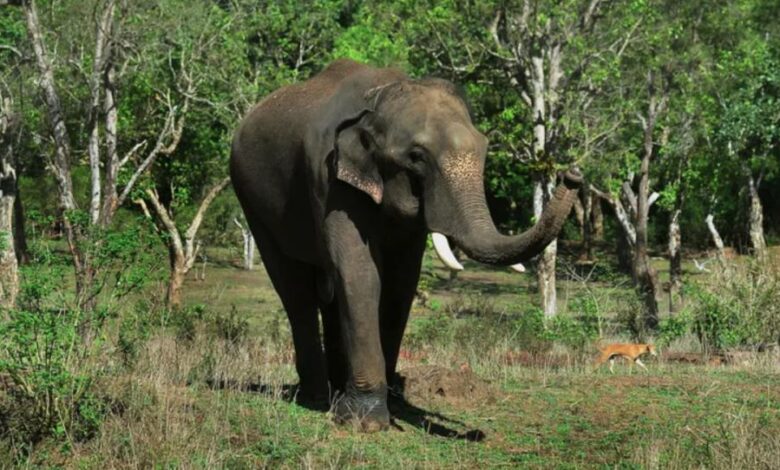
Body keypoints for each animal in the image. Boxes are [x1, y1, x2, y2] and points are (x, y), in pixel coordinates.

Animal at [230, 59, 581, 431]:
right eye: (416, 157)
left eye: (485, 149)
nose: (573, 175)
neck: (378, 100)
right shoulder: (329, 179)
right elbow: (360, 272)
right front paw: (365, 422)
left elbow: (401, 283)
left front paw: (390, 406)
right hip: (252, 200)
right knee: (295, 290)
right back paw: (316, 397)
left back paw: (335, 393)